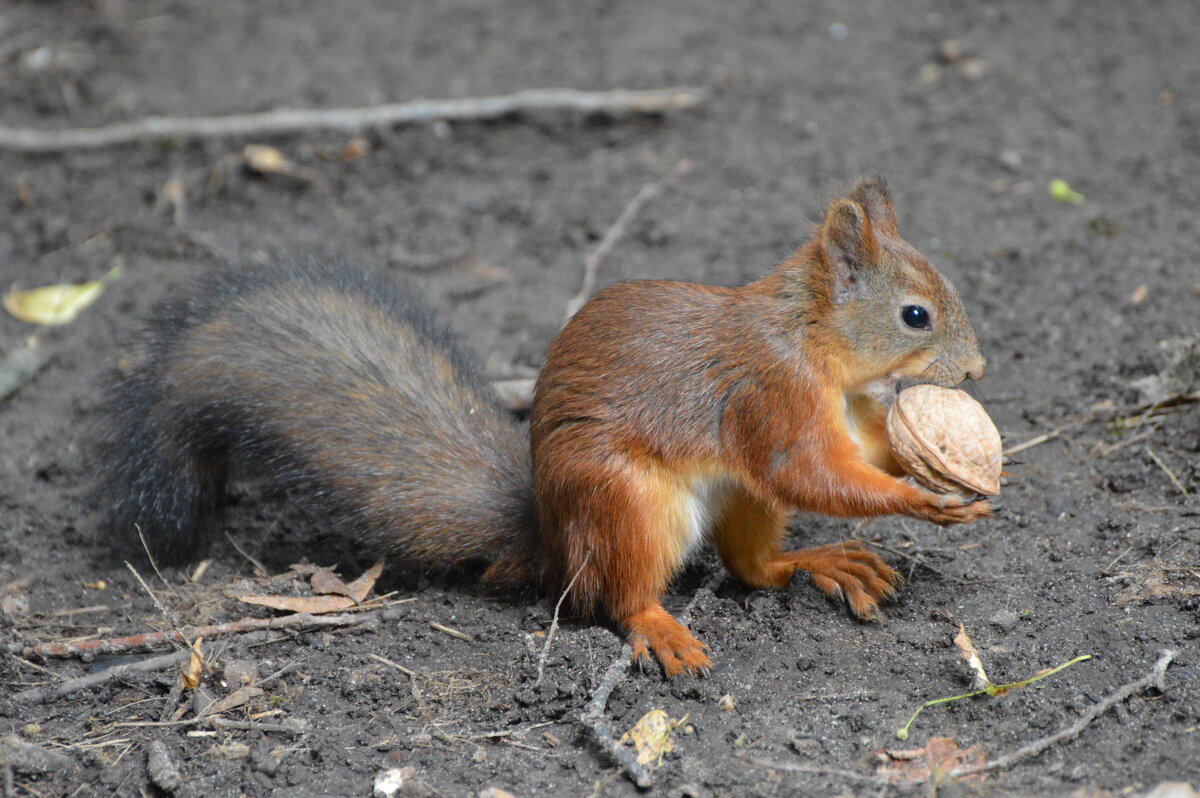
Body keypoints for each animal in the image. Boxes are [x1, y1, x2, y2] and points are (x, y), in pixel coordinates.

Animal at [98, 177, 988, 676]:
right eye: (914, 316)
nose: (978, 371)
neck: (814, 344)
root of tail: (551, 536)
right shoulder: (770, 398)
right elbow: (813, 471)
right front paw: (921, 499)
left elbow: (858, 455)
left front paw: (936, 468)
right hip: (629, 506)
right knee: (615, 598)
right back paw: (659, 627)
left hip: (736, 504)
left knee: (753, 569)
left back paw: (820, 562)